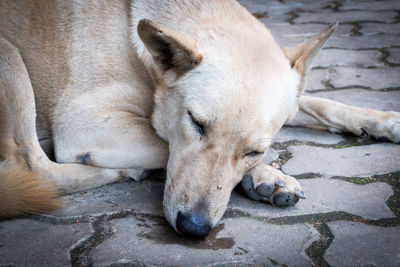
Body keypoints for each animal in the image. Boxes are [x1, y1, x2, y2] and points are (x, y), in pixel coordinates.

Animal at [0, 0, 400, 239]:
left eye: (254, 151)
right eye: (196, 123)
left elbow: (319, 102)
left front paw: (382, 120)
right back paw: (121, 171)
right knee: (33, 165)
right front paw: (267, 175)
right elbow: (164, 146)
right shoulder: (85, 121)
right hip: (9, 56)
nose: (194, 229)